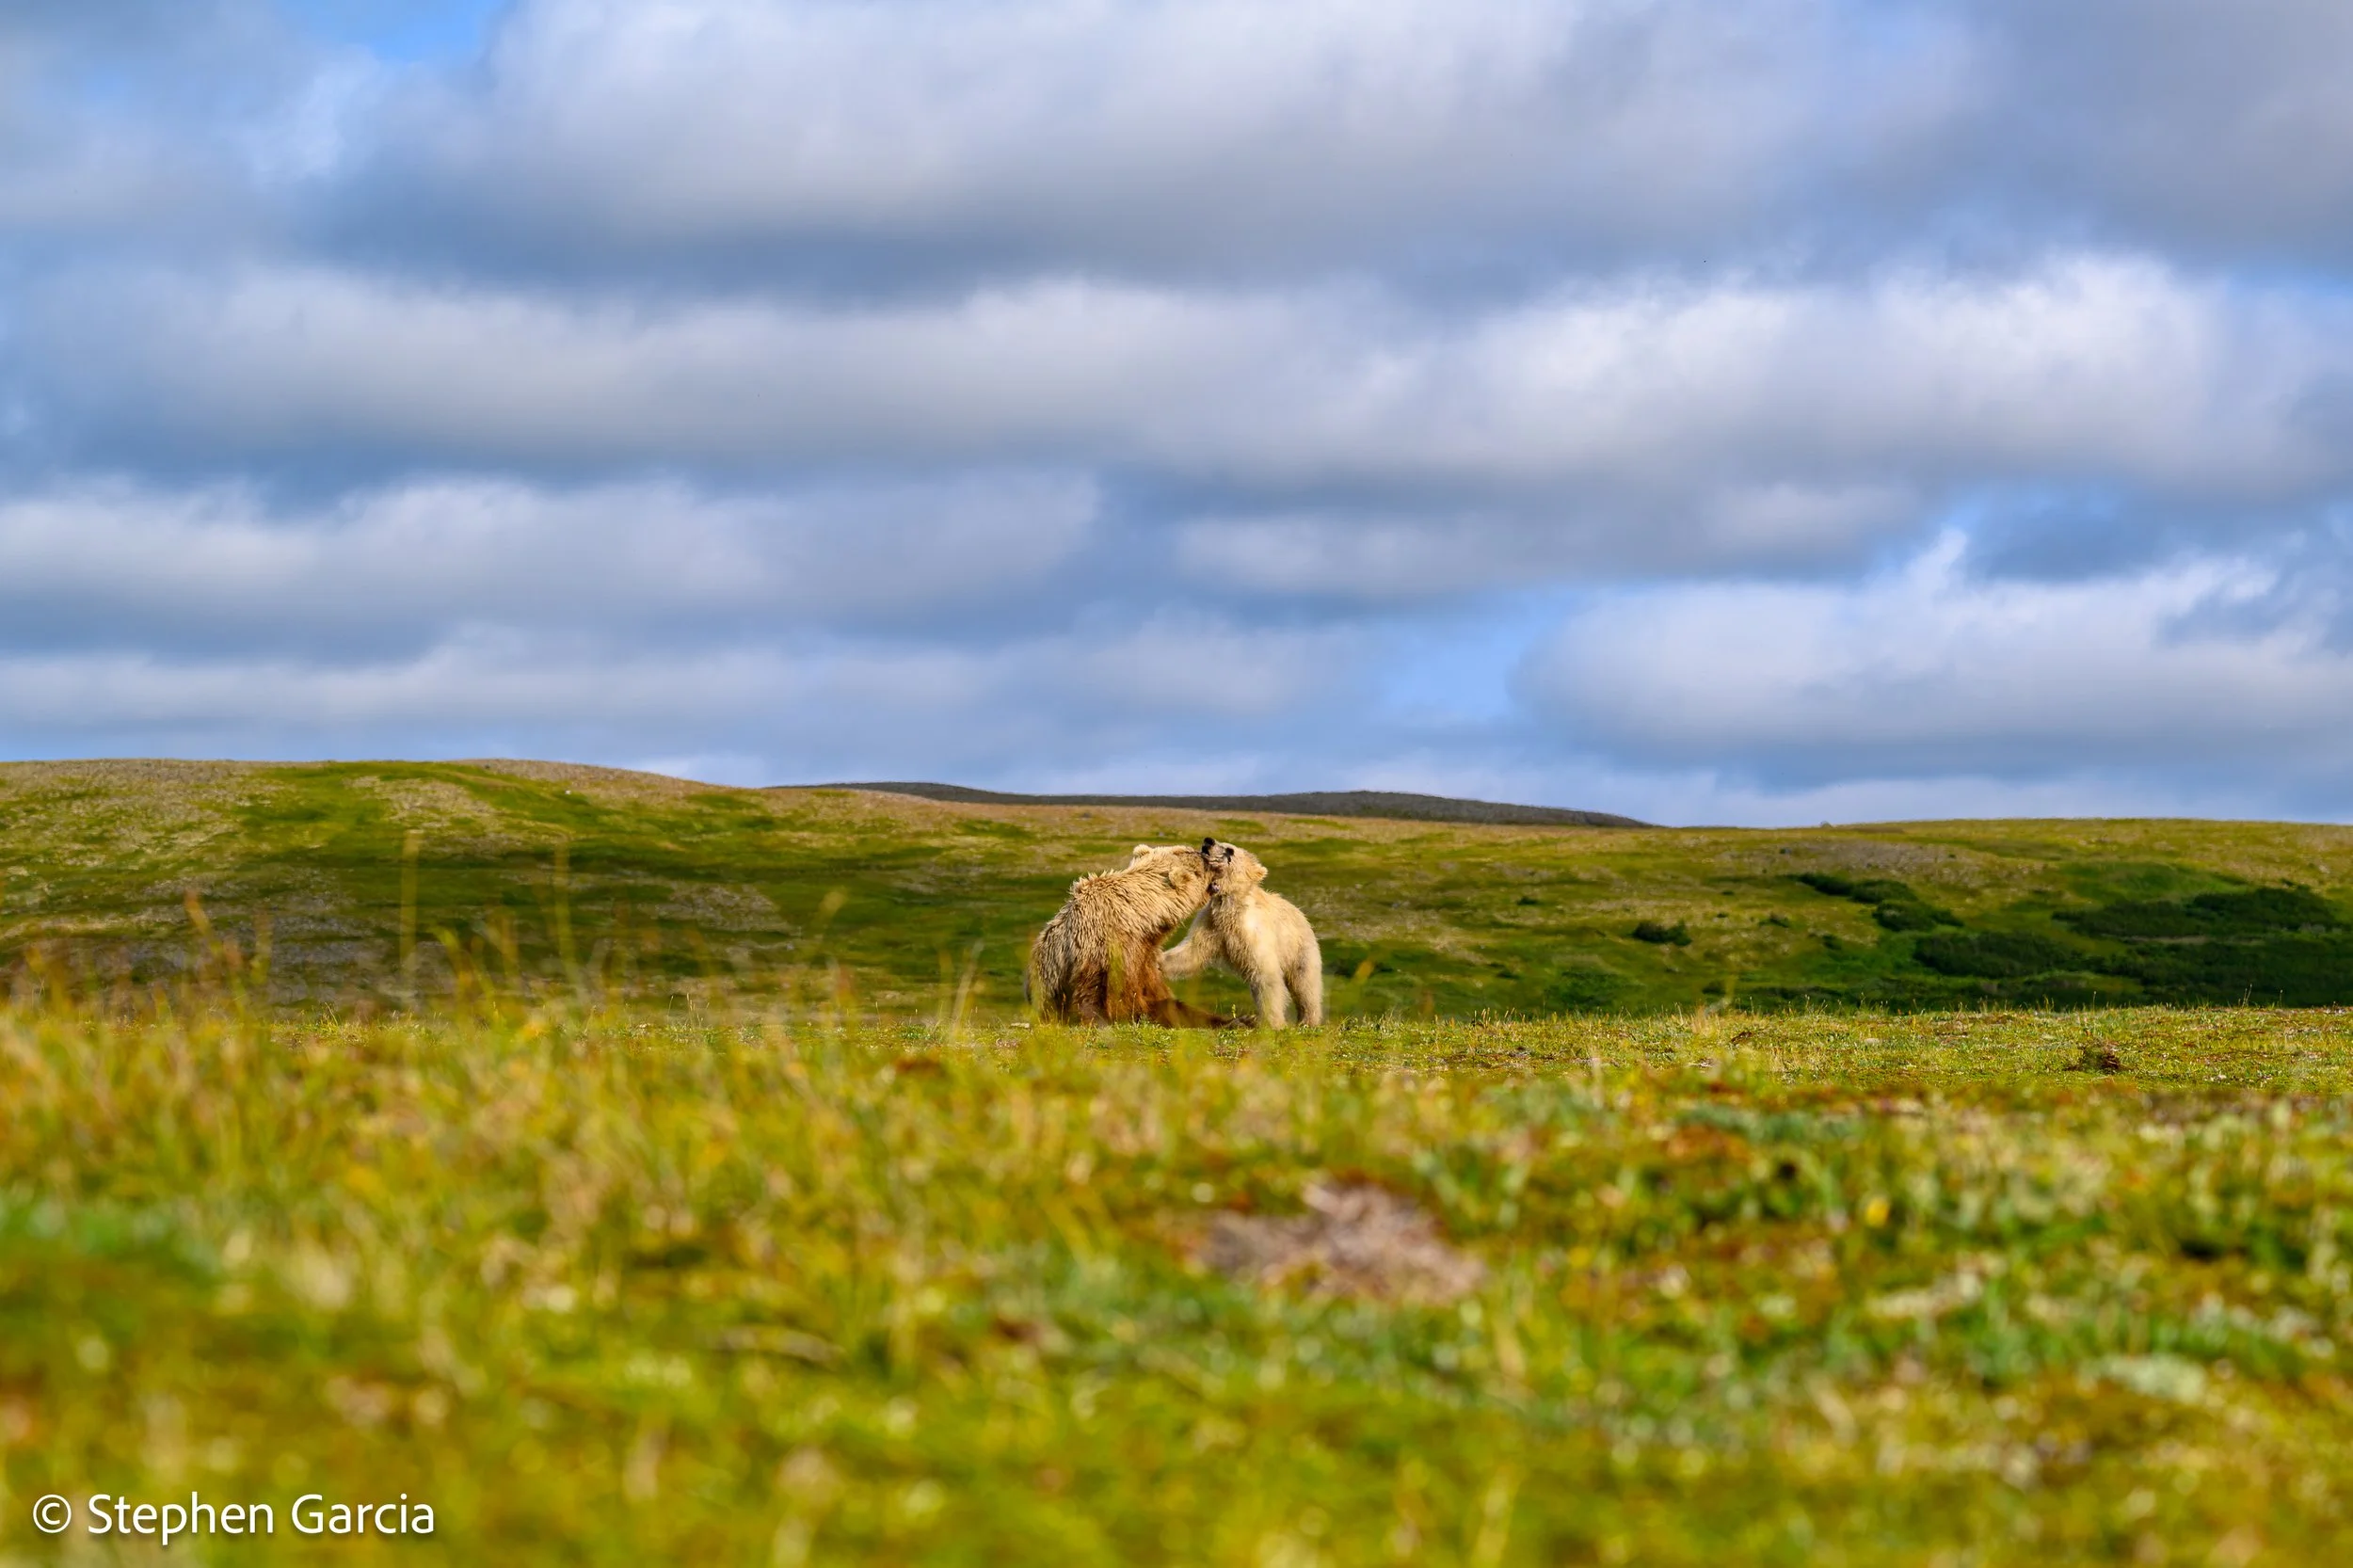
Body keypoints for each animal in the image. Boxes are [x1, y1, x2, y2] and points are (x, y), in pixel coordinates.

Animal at [1025, 842, 1226, 1025]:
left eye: (1190, 850)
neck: (1137, 920)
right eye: (1204, 865)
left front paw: (1228, 1020)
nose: (1209, 854)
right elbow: (1091, 996)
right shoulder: (1100, 949)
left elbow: (1162, 1001)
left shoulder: (1144, 956)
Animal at [1160, 839, 1324, 1028]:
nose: (1208, 841)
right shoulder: (1212, 925)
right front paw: (1159, 962)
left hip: (1299, 947)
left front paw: (1272, 1022)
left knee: (1305, 983)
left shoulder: (1252, 931)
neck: (1230, 906)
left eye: (1230, 849)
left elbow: (1265, 974)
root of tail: (1300, 912)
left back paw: (1308, 1020)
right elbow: (1192, 951)